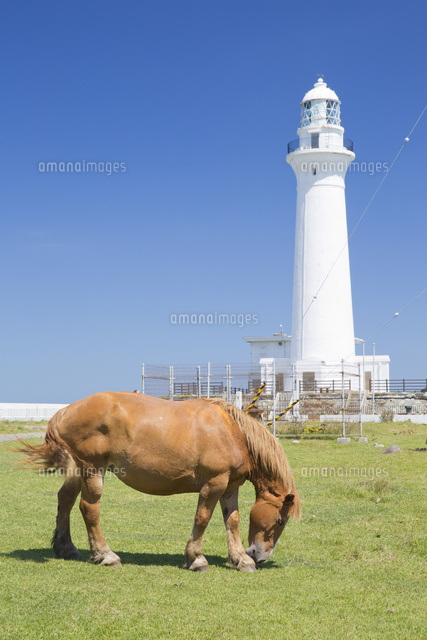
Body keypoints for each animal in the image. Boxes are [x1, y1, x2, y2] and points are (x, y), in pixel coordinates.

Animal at [21, 392, 300, 572]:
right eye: (280, 521)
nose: (260, 555)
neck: (233, 432)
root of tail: (66, 410)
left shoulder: (229, 488)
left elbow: (232, 522)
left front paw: (241, 559)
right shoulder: (214, 484)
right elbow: (202, 519)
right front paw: (196, 558)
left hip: (78, 470)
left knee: (65, 500)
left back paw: (65, 547)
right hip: (92, 470)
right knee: (88, 509)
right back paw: (105, 554)